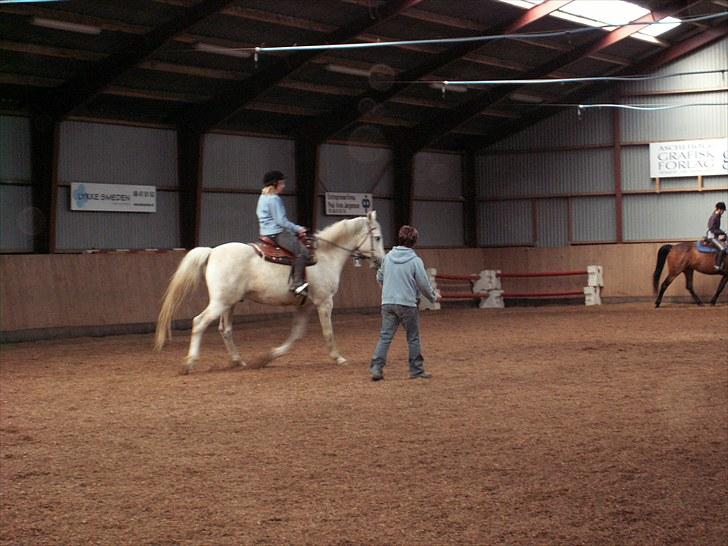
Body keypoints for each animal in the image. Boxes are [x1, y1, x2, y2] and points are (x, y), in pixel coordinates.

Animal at [154, 210, 386, 372]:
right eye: (378, 238)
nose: (381, 261)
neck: (324, 256)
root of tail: (212, 252)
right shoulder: (324, 301)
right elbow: (328, 332)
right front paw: (338, 357)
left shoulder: (305, 306)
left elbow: (296, 335)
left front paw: (267, 356)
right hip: (220, 302)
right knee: (199, 322)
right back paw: (190, 363)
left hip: (230, 303)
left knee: (225, 330)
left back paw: (238, 361)